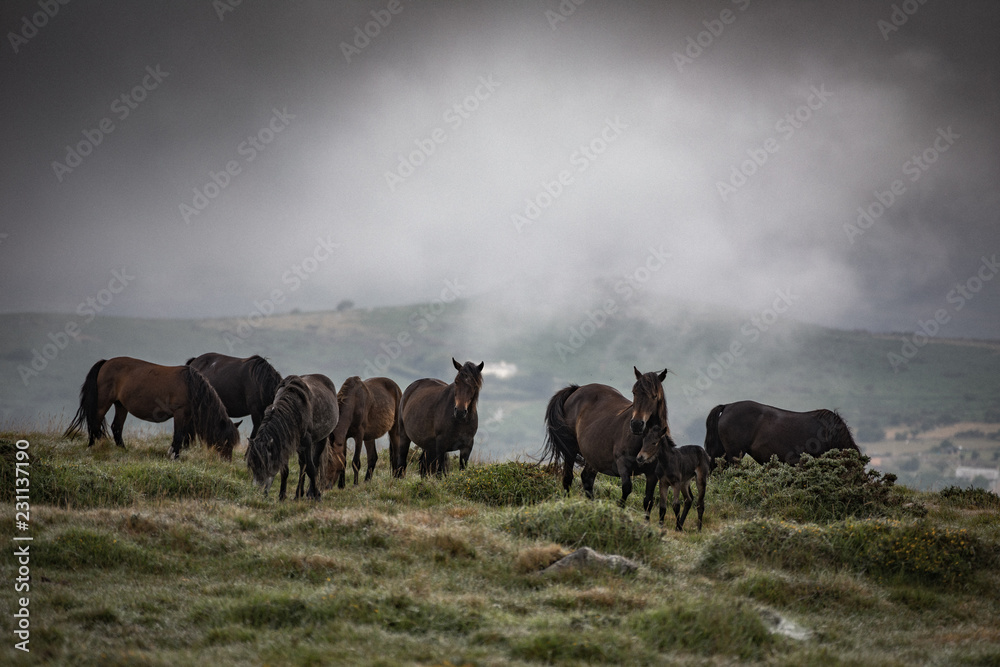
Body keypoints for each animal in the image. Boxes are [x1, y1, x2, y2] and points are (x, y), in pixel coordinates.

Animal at [64, 357, 240, 460]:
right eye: (226, 440)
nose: (227, 461)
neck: (191, 385)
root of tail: (106, 362)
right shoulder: (180, 413)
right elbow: (178, 435)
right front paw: (175, 457)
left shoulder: (187, 416)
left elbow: (182, 436)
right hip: (103, 402)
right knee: (94, 422)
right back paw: (92, 446)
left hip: (121, 405)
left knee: (116, 427)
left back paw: (123, 450)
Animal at [541, 367, 669, 513]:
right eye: (634, 392)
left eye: (655, 395)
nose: (636, 424)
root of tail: (577, 390)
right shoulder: (622, 464)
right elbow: (626, 489)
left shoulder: (652, 474)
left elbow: (648, 501)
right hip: (570, 450)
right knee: (568, 479)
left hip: (593, 456)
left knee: (587, 479)